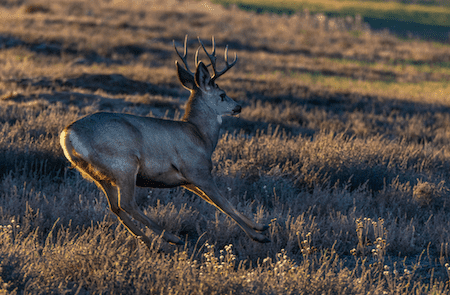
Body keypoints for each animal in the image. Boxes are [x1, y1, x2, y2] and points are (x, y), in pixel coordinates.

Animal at [59, 35, 270, 247]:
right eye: (222, 95)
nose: (238, 107)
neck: (200, 136)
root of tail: (68, 134)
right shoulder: (197, 170)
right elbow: (222, 203)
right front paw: (259, 235)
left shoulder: (185, 179)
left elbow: (215, 202)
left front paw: (260, 226)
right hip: (124, 164)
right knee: (126, 204)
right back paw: (170, 239)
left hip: (98, 175)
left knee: (115, 207)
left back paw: (153, 244)